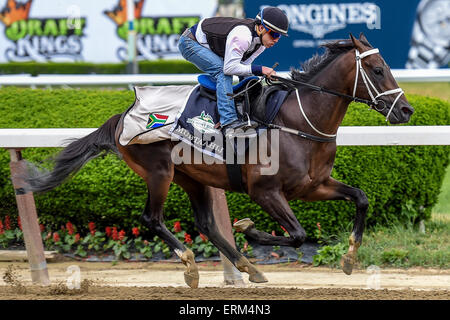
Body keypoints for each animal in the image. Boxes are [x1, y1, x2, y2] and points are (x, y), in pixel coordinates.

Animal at [26, 34, 414, 288]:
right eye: (377, 69)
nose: (406, 110)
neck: (298, 122)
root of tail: (123, 115)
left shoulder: (313, 186)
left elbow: (361, 198)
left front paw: (349, 257)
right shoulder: (265, 191)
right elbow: (298, 235)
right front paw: (248, 228)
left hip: (192, 177)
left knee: (206, 223)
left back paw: (247, 267)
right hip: (158, 171)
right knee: (152, 218)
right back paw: (190, 266)